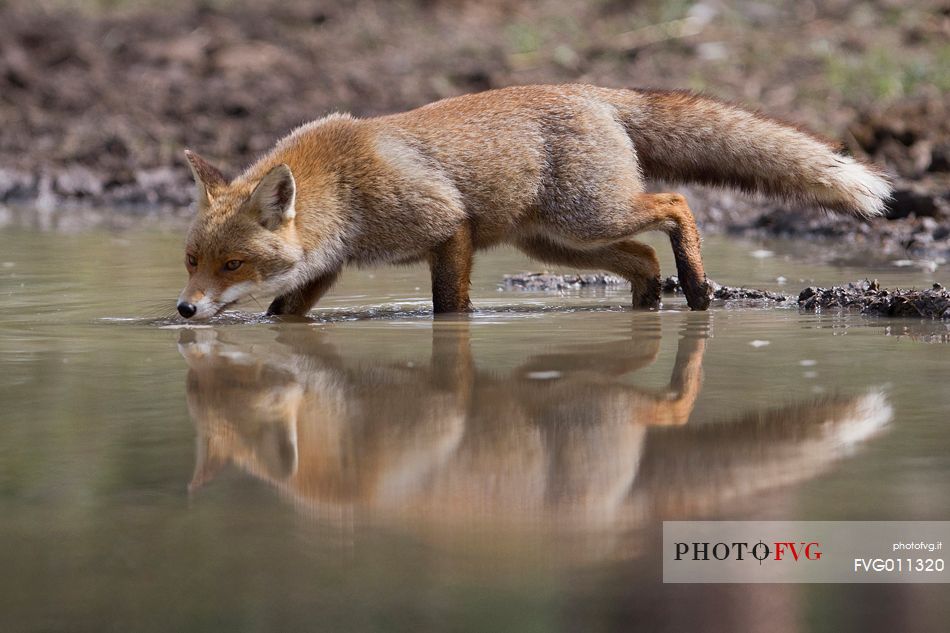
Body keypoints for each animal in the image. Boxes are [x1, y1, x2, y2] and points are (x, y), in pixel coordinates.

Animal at [173, 84, 892, 318]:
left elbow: (450, 308)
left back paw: (693, 286)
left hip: (590, 217)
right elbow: (284, 313)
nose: (183, 309)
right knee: (640, 259)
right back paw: (651, 309)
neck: (345, 186)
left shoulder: (449, 226)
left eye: (232, 264)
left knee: (675, 204)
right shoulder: (328, 267)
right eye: (190, 261)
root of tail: (593, 90)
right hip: (557, 243)